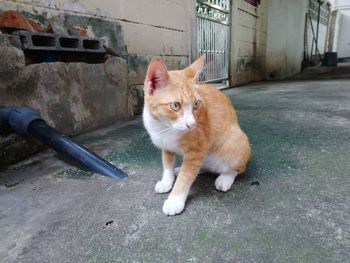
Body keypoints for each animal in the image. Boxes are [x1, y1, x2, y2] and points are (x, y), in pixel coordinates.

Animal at [143, 55, 252, 217]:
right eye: (175, 105)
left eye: (196, 104)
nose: (191, 125)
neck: (165, 127)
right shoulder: (166, 147)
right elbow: (167, 164)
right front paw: (167, 180)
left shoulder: (197, 150)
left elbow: (186, 177)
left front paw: (175, 200)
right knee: (200, 166)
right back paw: (180, 170)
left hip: (236, 141)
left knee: (237, 168)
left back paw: (225, 178)